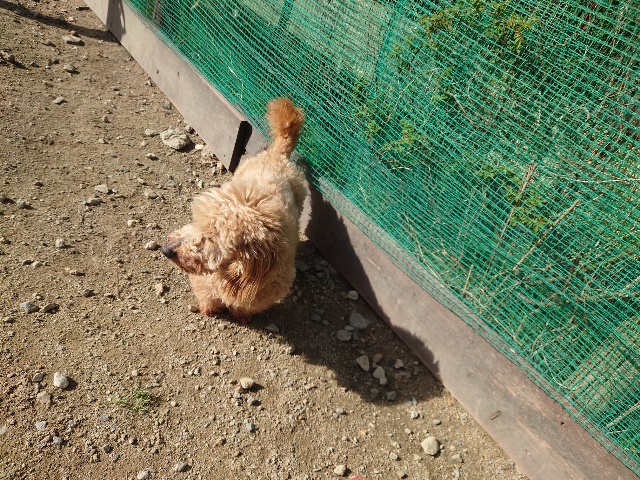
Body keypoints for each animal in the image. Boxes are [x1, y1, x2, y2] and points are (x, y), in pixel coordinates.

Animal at [162, 98, 307, 323]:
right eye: (195, 221)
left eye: (211, 238)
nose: (166, 249)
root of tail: (277, 154)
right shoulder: (206, 279)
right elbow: (208, 293)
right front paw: (209, 308)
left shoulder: (268, 288)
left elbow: (247, 305)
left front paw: (241, 315)